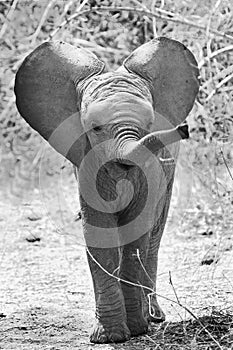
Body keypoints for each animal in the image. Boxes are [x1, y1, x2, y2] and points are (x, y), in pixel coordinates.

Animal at [14, 37, 198, 344]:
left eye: (149, 125)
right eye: (95, 128)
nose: (184, 129)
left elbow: (137, 229)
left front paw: (136, 329)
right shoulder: (86, 160)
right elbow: (99, 231)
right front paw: (110, 337)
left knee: (155, 235)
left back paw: (154, 316)